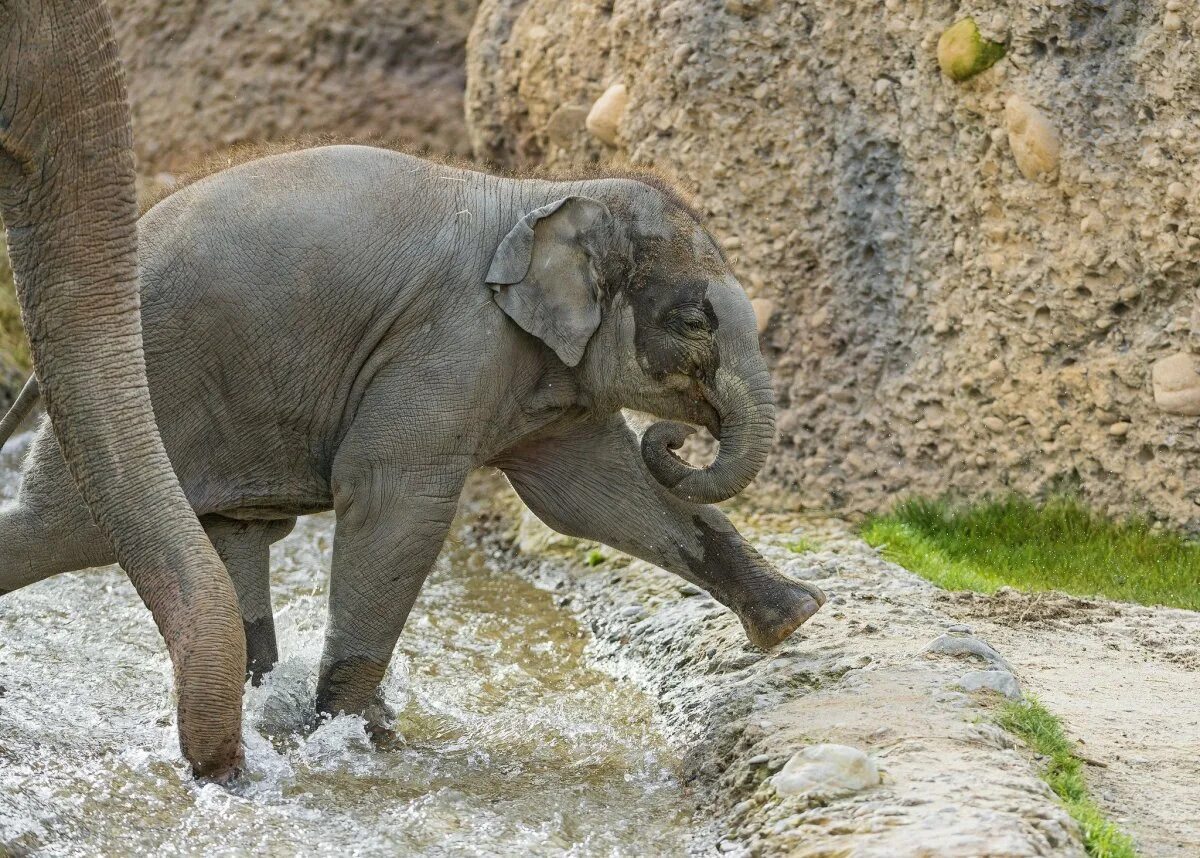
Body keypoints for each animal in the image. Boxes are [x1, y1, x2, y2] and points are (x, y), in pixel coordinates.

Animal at [0, 147, 825, 724]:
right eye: (693, 322)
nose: (677, 439)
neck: (548, 188)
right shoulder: (454, 340)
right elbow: (393, 492)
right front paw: (358, 731)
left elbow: (593, 497)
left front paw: (795, 619)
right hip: (140, 384)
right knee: (58, 529)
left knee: (230, 540)